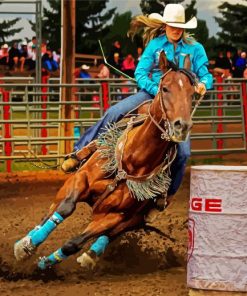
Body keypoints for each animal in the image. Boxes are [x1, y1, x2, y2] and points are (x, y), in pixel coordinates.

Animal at [13, 51, 196, 270]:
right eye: (165, 88)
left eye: (192, 94)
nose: (182, 126)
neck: (132, 162)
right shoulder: (80, 179)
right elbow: (66, 208)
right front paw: (27, 246)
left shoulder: (116, 216)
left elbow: (74, 243)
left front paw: (45, 263)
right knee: (50, 212)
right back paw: (27, 240)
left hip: (132, 220)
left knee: (108, 236)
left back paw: (91, 254)